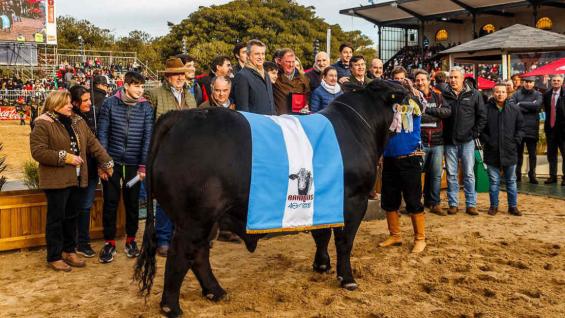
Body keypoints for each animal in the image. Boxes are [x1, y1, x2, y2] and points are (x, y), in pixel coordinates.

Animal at [134, 80, 408, 318]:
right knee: (181, 254)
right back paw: (171, 306)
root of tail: (180, 117)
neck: (358, 126)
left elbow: (321, 234)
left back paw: (216, 291)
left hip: (206, 219)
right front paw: (347, 278)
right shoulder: (354, 199)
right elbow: (344, 242)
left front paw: (322, 265)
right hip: (195, 218)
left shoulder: (323, 203)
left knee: (199, 254)